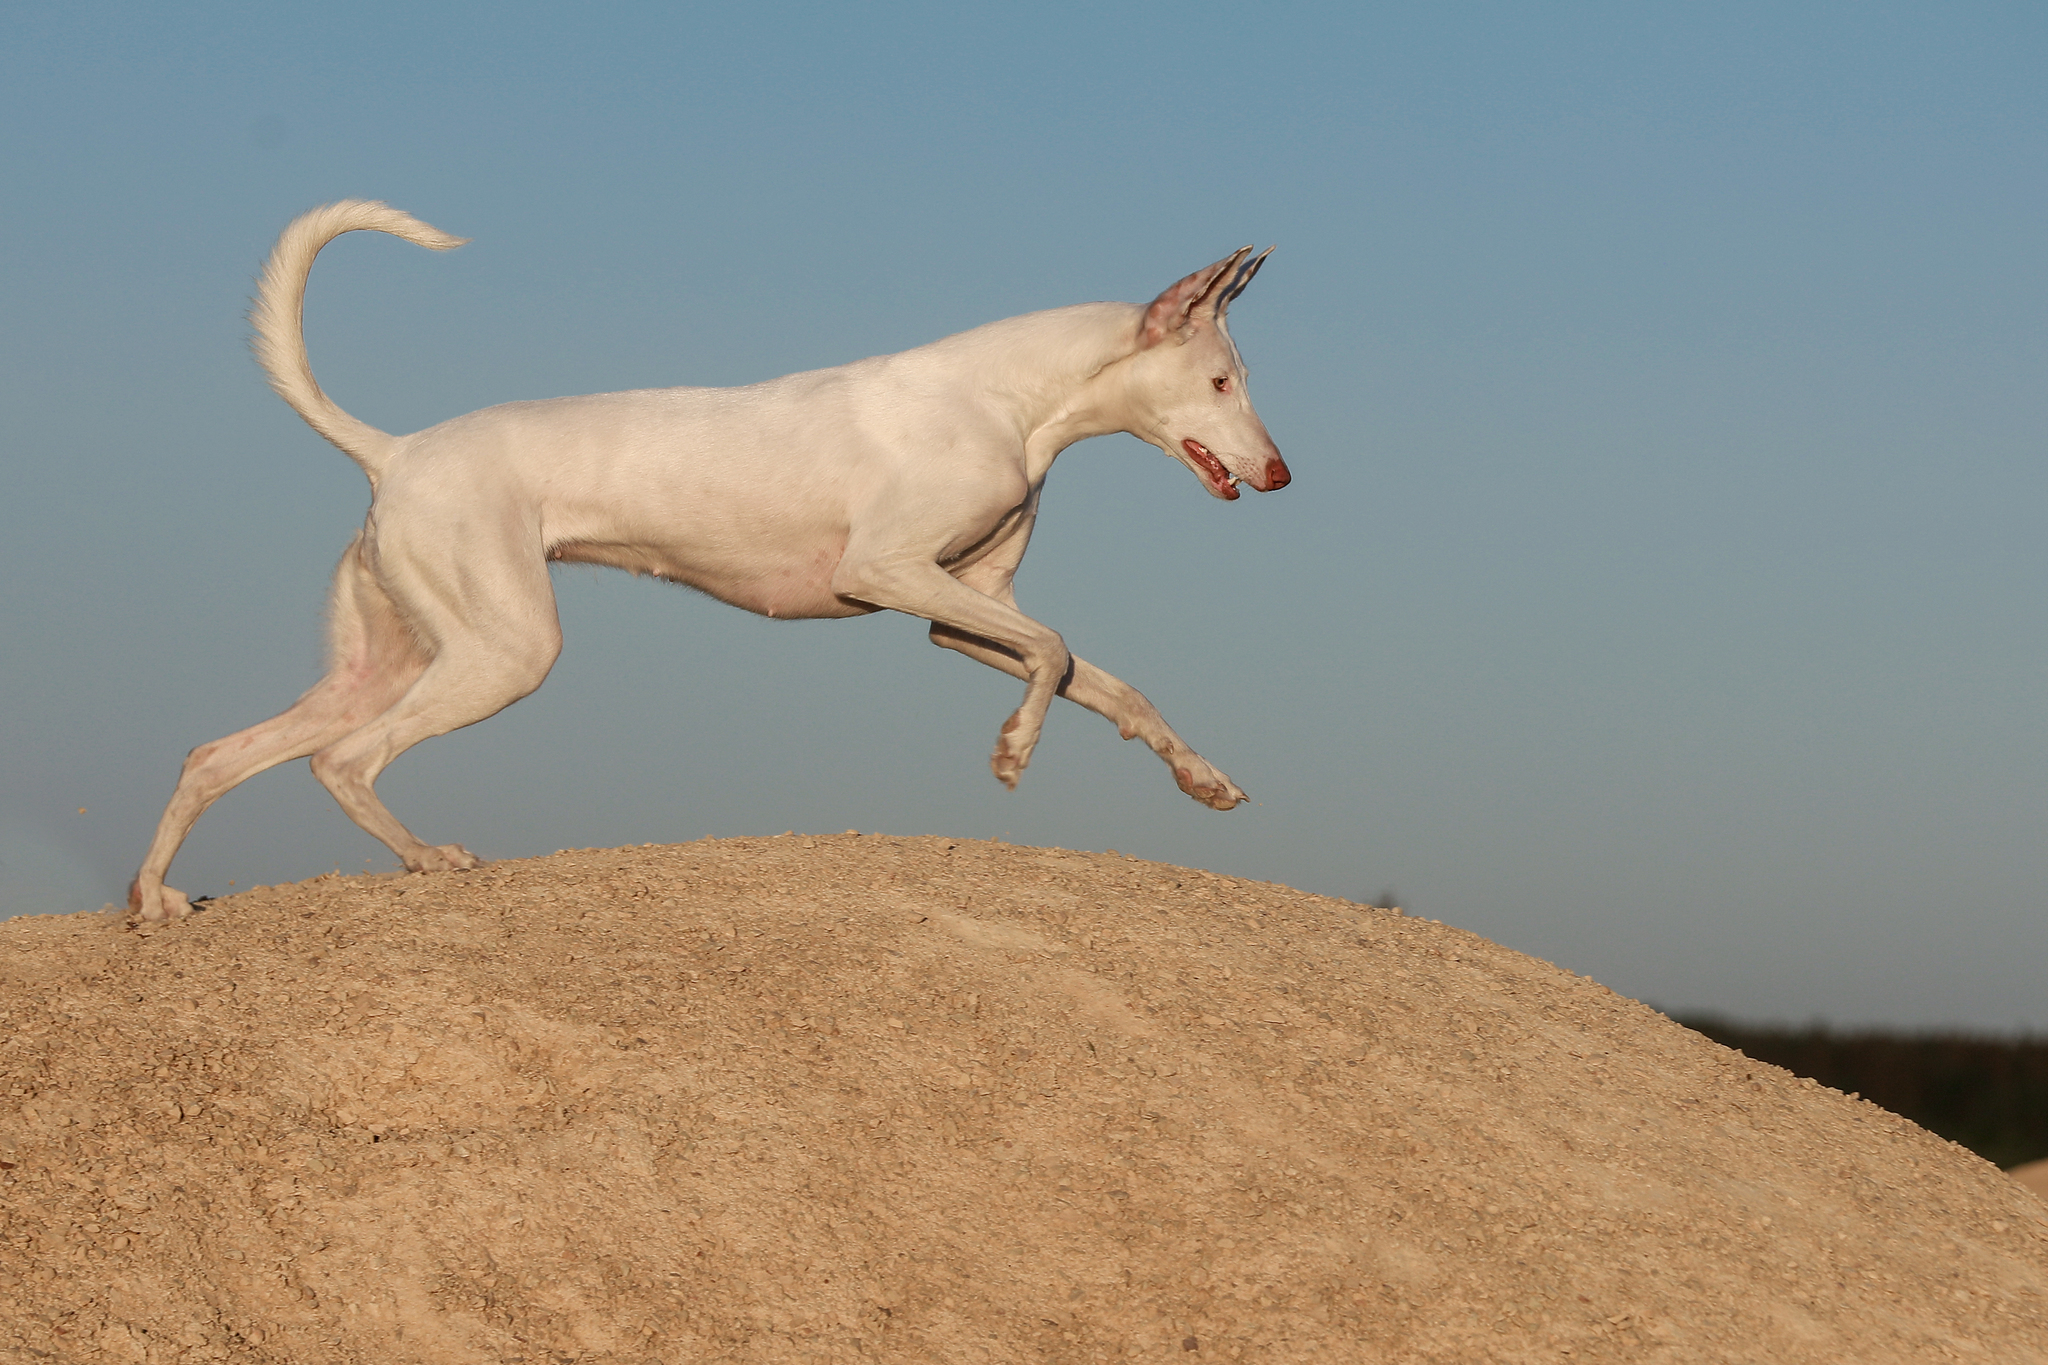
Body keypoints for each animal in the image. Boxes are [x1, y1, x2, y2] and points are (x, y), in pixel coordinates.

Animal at [128, 202, 1286, 925]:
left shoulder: (958, 610)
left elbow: (1103, 678)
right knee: (345, 761)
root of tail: (397, 448)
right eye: (1222, 382)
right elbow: (1053, 649)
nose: (1279, 475)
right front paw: (1011, 754)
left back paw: (153, 901)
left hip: (391, 656)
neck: (1005, 399)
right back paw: (423, 858)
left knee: (217, 756)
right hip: (505, 651)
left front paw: (1202, 778)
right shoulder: (889, 573)